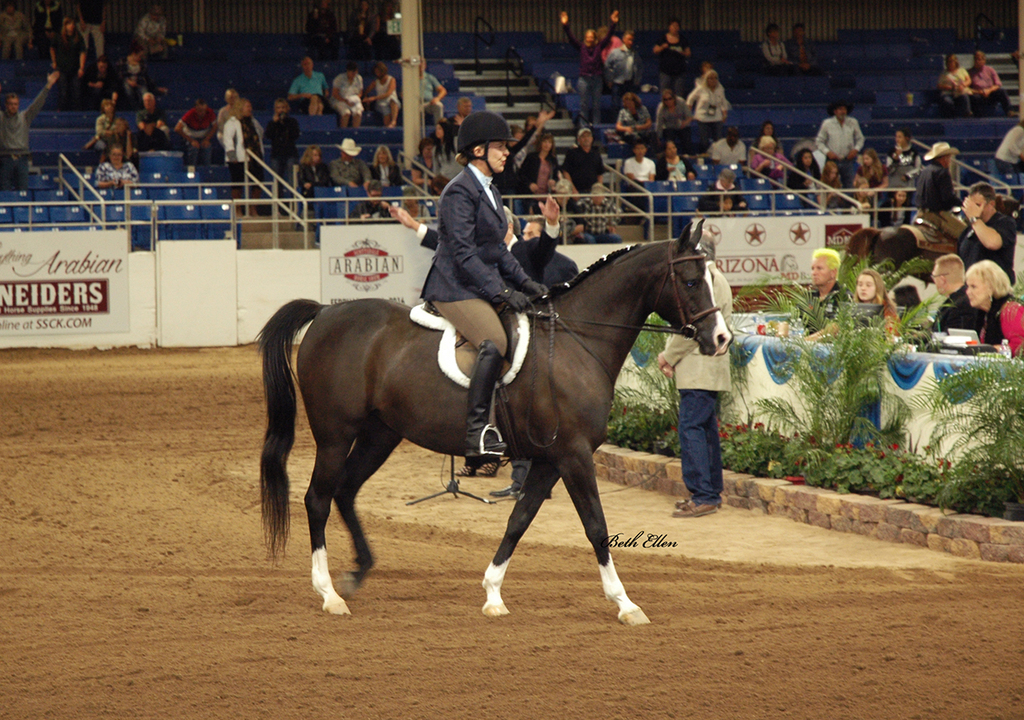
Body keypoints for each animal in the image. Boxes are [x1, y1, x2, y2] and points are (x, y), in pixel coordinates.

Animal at [257, 220, 731, 626]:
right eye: (691, 281)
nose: (721, 339)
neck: (578, 340)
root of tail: (324, 313)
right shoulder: (574, 455)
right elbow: (596, 526)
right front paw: (626, 603)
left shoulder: (550, 459)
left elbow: (519, 520)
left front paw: (492, 594)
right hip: (335, 435)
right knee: (318, 498)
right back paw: (329, 593)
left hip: (380, 434)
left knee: (345, 492)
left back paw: (358, 572)